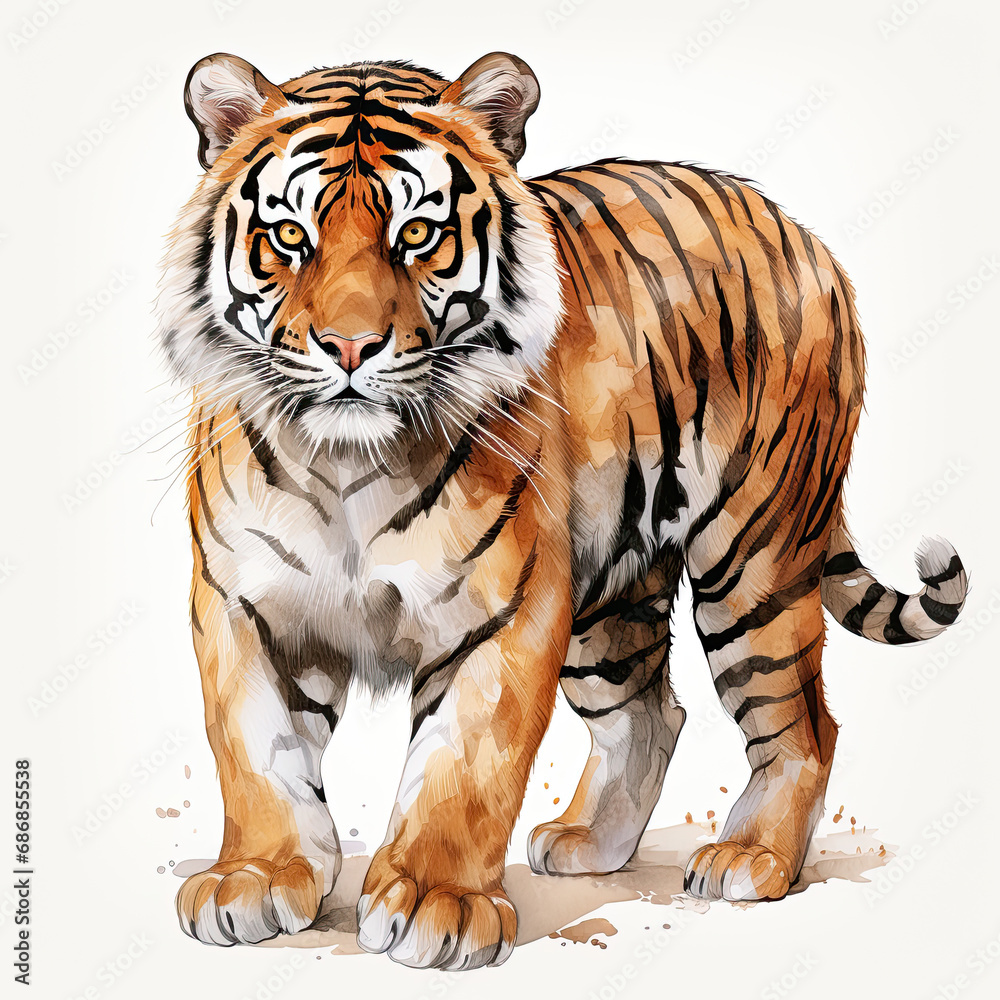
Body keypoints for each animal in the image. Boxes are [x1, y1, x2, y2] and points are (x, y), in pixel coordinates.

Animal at [155, 50, 969, 970]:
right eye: (291, 238)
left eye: (418, 235)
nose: (350, 347)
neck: (347, 465)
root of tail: (799, 230)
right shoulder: (242, 605)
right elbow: (257, 754)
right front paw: (254, 878)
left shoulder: (502, 611)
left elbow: (466, 764)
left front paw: (438, 903)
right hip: (608, 597)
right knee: (652, 712)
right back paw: (591, 844)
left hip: (752, 560)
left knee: (803, 723)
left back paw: (751, 856)